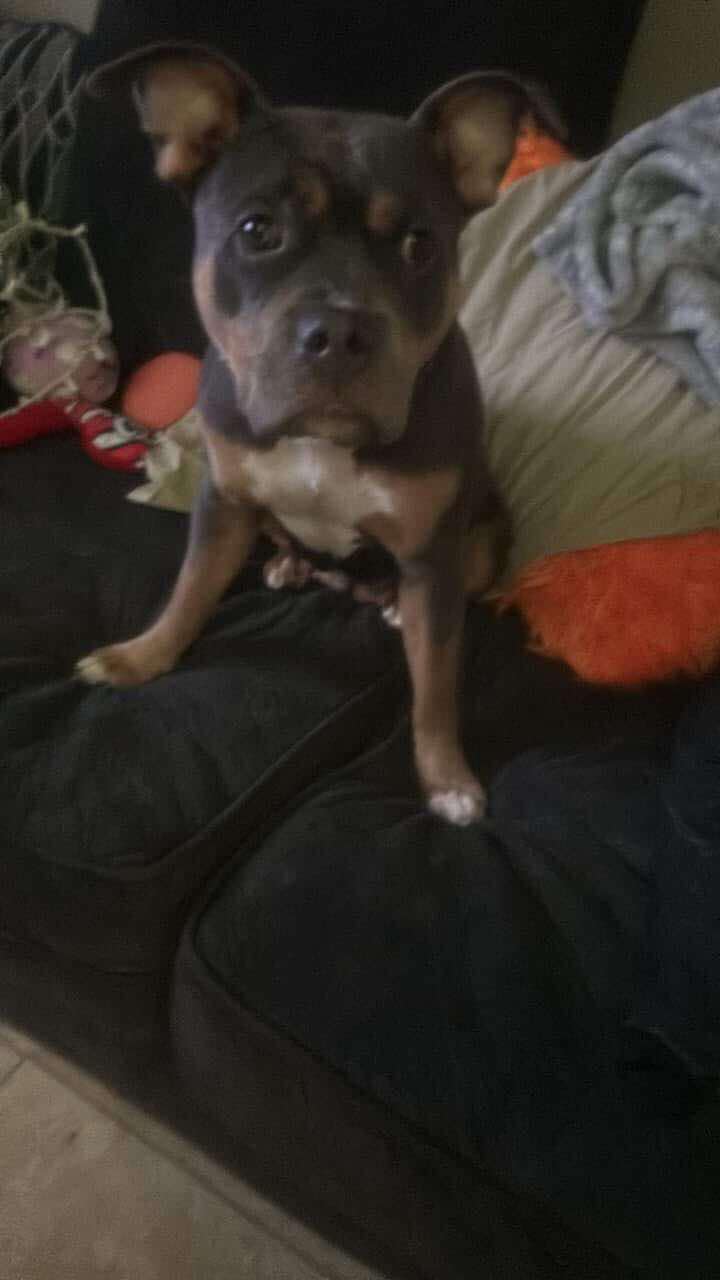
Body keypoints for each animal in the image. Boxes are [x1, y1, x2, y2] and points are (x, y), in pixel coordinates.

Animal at [78, 42, 560, 825]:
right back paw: (288, 564)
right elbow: (190, 589)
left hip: (486, 538)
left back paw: (387, 603)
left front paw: (446, 777)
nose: (339, 331)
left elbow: (437, 683)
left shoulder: (433, 552)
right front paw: (142, 657)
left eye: (421, 246)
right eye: (257, 231)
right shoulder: (223, 502)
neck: (321, 440)